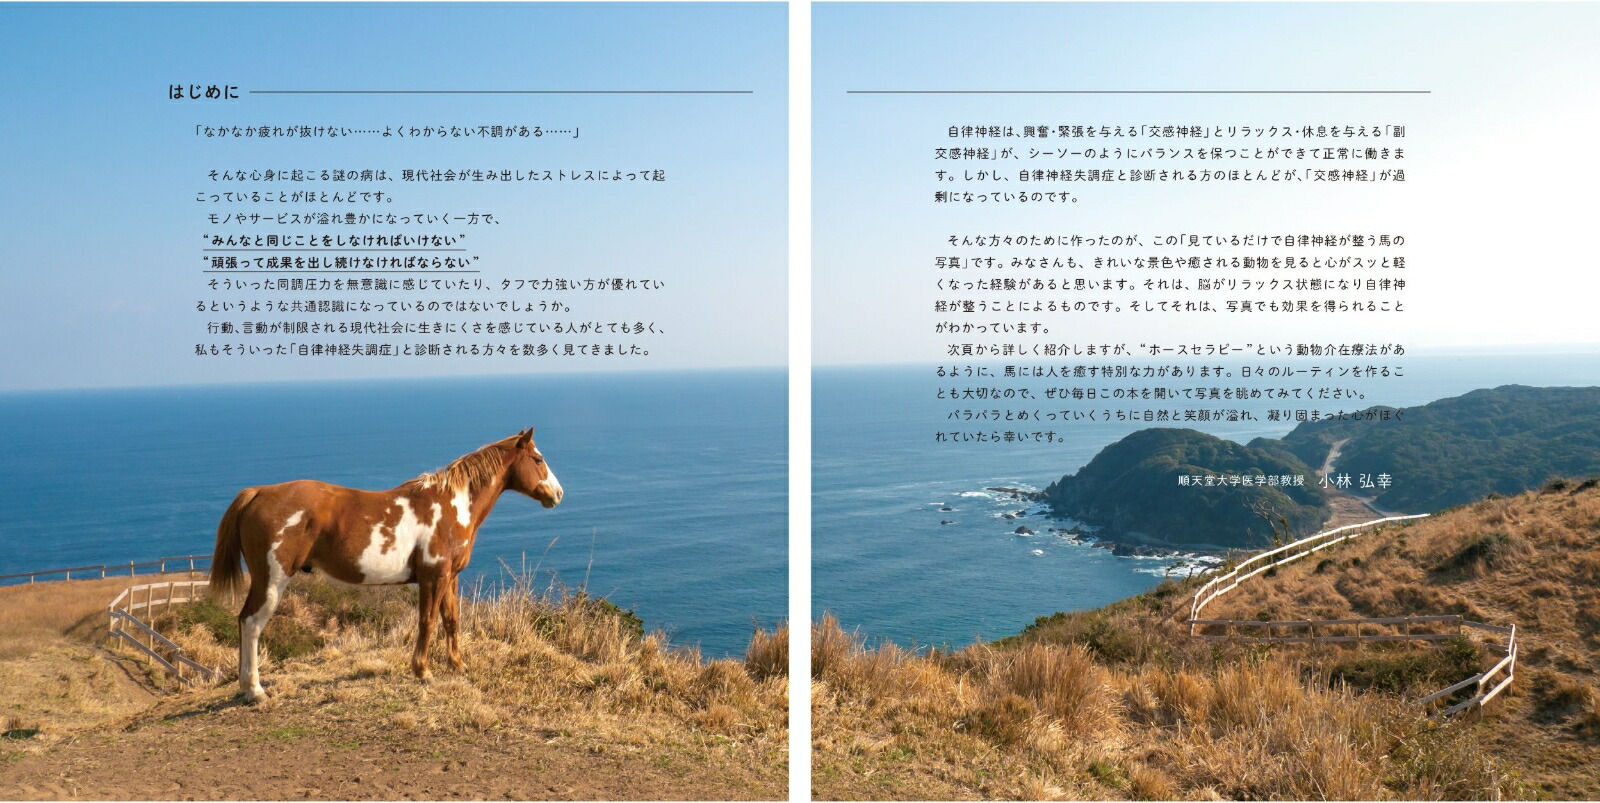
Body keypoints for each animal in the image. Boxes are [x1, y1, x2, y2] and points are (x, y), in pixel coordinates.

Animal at [209, 428, 563, 702]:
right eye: (538, 460)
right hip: (272, 580)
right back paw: (255, 690)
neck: (451, 505)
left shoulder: (450, 577)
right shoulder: (433, 576)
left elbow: (451, 620)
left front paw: (458, 665)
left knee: (243, 620)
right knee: (252, 623)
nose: (557, 493)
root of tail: (258, 493)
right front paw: (423, 671)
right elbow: (427, 622)